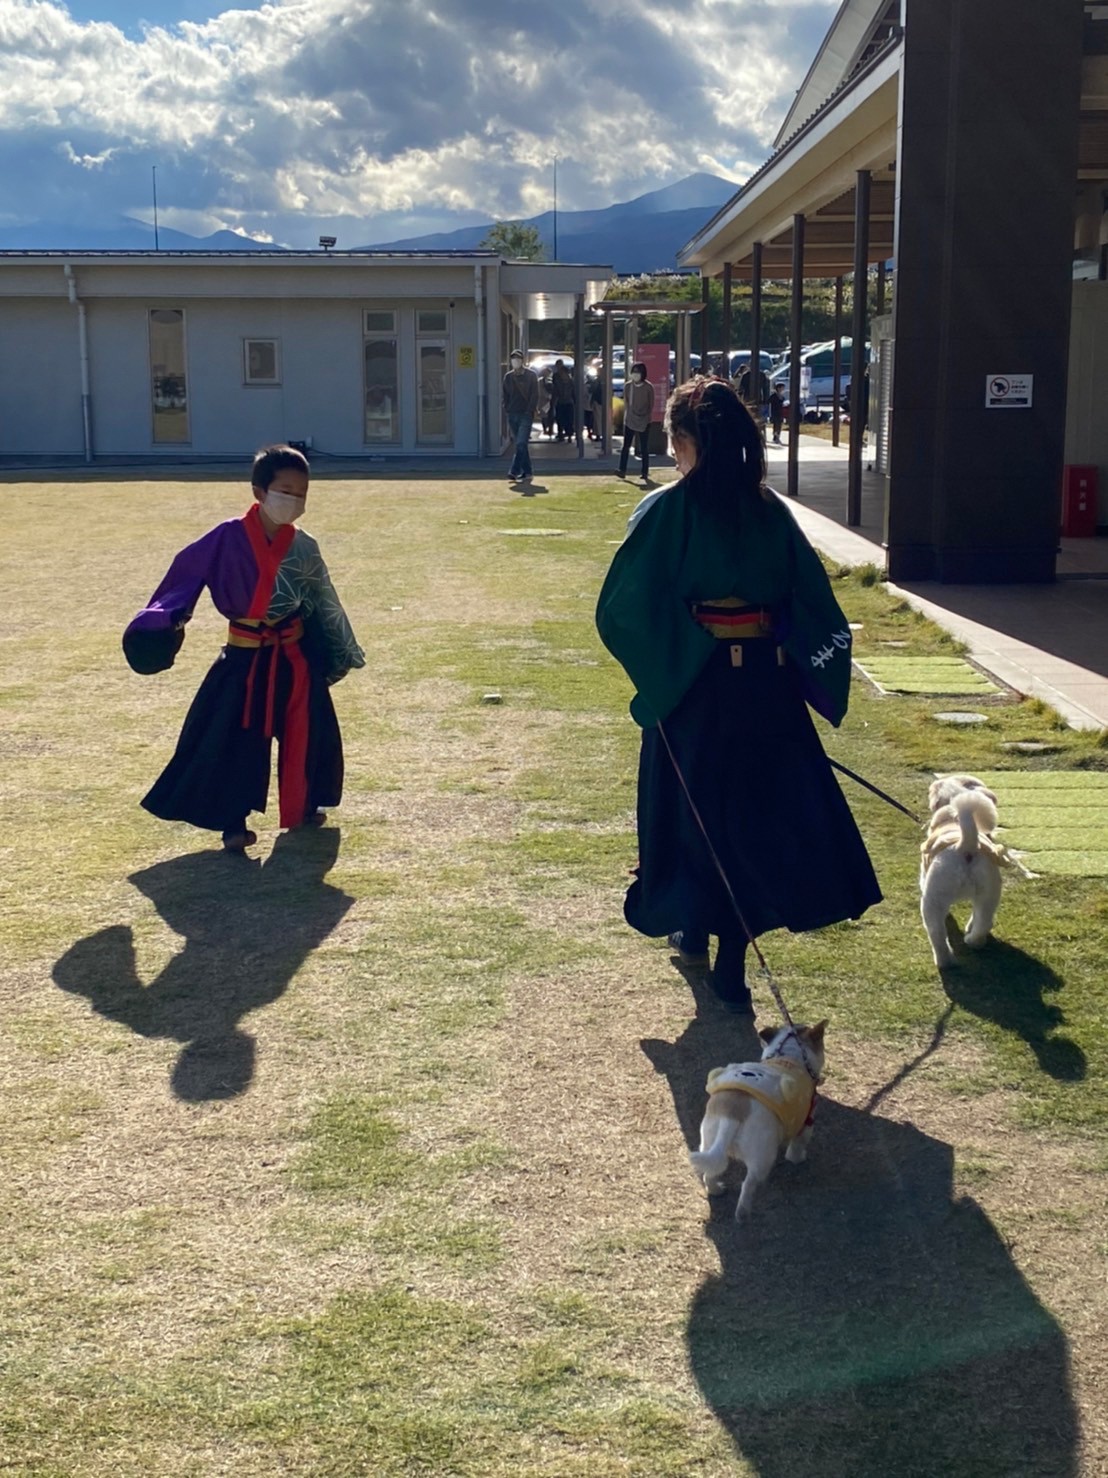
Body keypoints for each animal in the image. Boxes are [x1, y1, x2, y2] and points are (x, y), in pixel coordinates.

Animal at [688, 1021, 827, 1220]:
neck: (790, 1055)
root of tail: (733, 1114)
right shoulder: (807, 1122)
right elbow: (797, 1147)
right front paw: (798, 1159)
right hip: (762, 1158)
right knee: (748, 1184)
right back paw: (743, 1213)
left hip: (708, 1142)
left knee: (710, 1173)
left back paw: (717, 1190)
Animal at [919, 773, 1033, 968]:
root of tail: (966, 845)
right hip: (988, 894)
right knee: (983, 922)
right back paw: (973, 940)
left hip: (932, 901)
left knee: (938, 935)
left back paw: (944, 961)